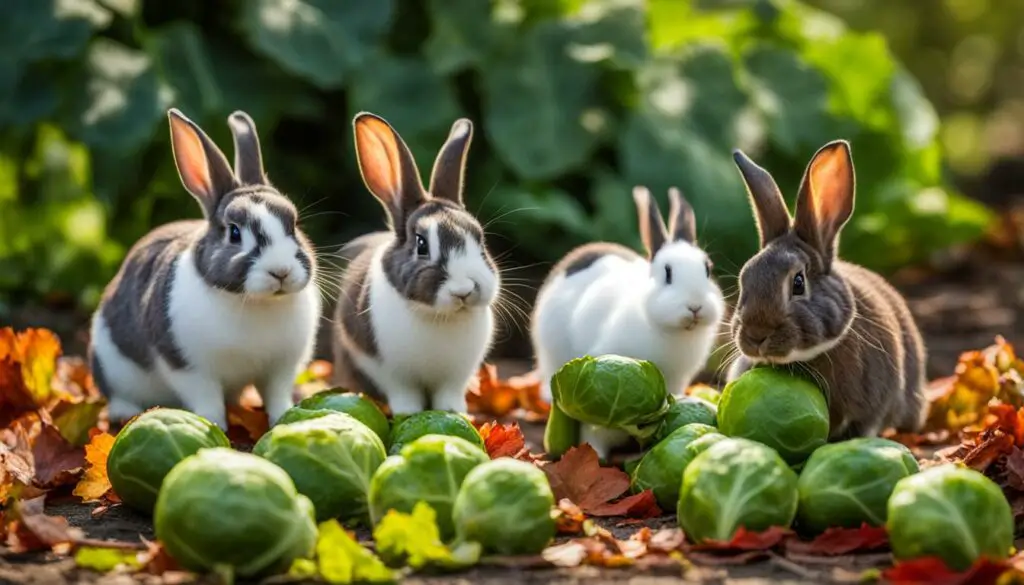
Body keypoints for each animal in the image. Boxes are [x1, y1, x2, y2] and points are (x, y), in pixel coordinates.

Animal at [88, 108, 321, 430]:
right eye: (234, 233)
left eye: (293, 224)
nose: (281, 271)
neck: (252, 302)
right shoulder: (188, 366)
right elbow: (206, 398)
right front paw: (214, 425)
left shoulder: (281, 367)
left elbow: (276, 394)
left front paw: (284, 416)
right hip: (111, 366)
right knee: (118, 394)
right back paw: (124, 413)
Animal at [331, 113, 499, 415]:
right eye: (421, 245)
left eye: (480, 242)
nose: (464, 290)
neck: (438, 316)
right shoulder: (392, 374)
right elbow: (405, 397)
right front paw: (408, 413)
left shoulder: (454, 379)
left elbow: (448, 399)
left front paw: (455, 414)